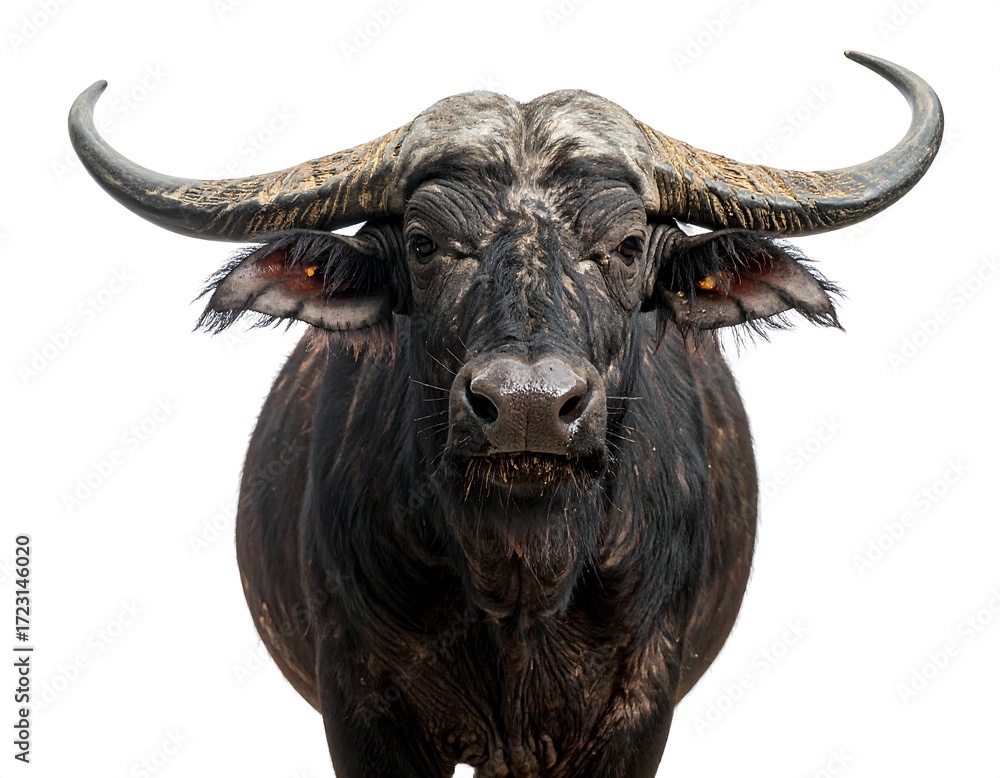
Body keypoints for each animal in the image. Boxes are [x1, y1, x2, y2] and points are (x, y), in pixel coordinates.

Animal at [70, 51, 942, 777]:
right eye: (424, 243)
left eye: (628, 245)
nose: (529, 408)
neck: (520, 574)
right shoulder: (362, 711)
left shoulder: (637, 714)